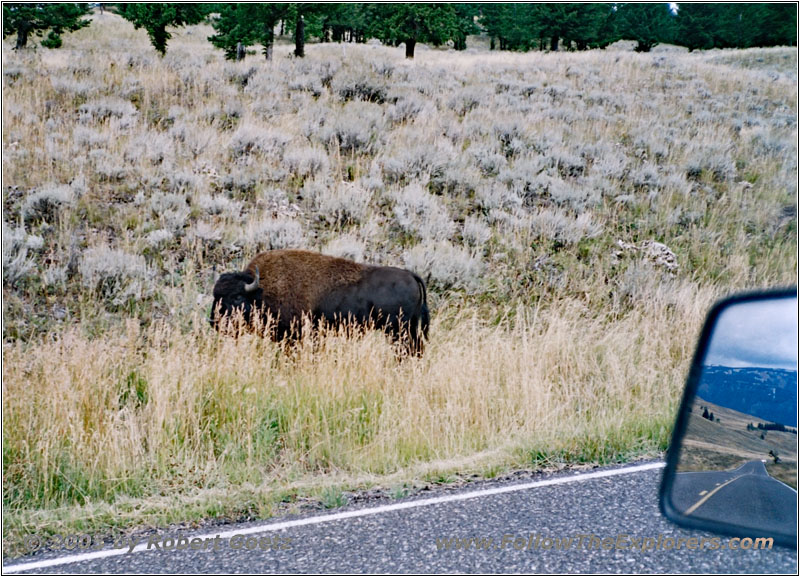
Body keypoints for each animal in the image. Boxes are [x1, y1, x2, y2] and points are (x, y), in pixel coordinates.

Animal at [209, 250, 428, 354]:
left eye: (237, 297)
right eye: (215, 296)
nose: (214, 322)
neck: (261, 291)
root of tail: (410, 275)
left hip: (399, 330)